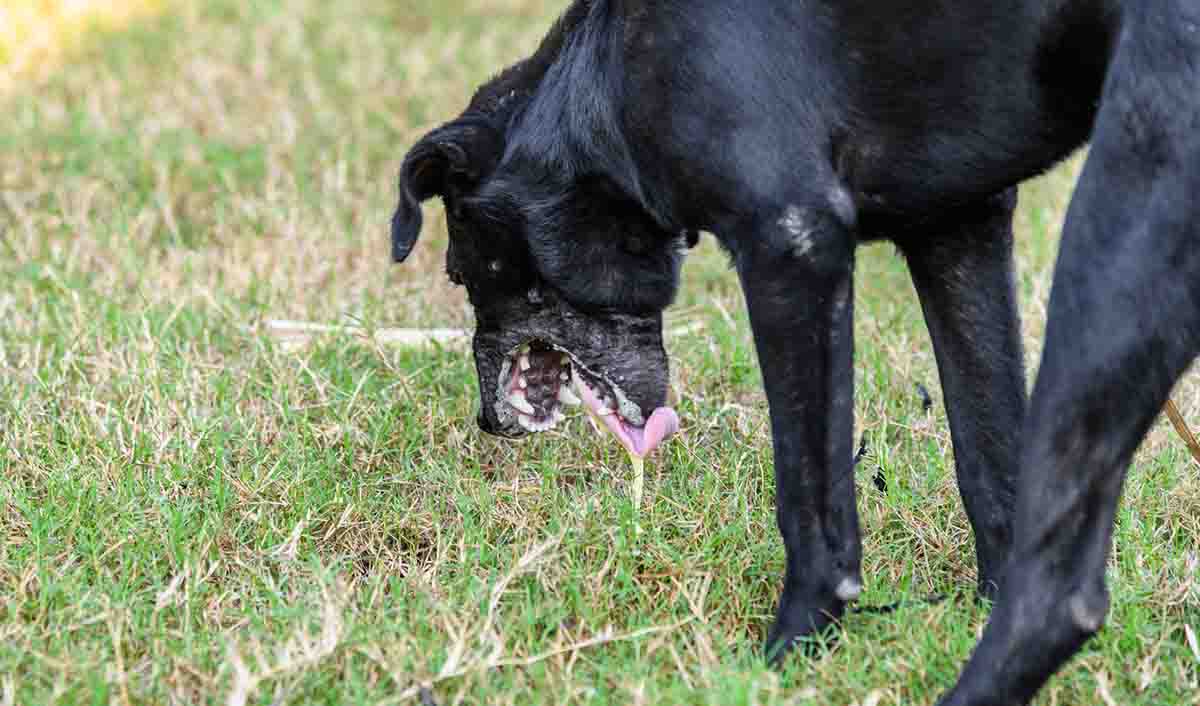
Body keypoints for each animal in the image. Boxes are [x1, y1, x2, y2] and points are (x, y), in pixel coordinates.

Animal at [391, 2, 1190, 701]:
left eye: (460, 272)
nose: (486, 421)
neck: (605, 78)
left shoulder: (792, 246)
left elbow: (811, 502)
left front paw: (788, 655)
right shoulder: (958, 228)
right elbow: (991, 465)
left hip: (1118, 230)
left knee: (1062, 594)